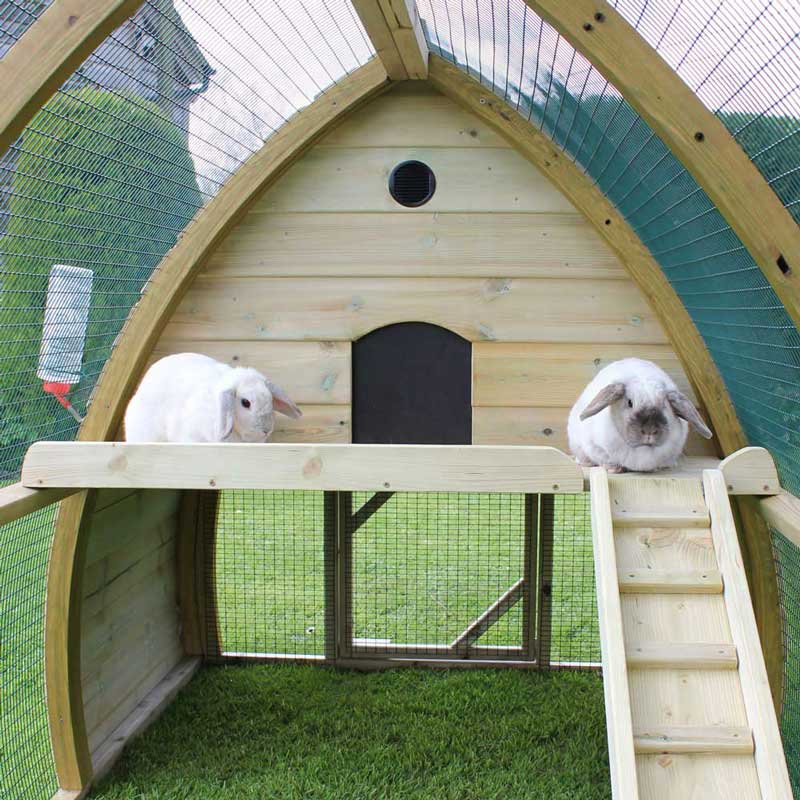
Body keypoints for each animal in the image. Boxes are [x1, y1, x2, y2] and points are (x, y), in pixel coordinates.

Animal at [568, 358, 712, 476]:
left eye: (664, 405)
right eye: (630, 403)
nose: (649, 430)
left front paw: (657, 468)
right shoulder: (595, 447)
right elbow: (606, 460)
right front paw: (615, 469)